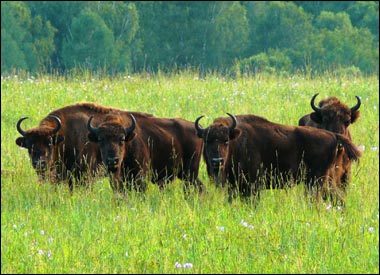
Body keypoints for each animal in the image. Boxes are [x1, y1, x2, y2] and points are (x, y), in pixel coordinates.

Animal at [194, 113, 360, 202]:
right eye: (207, 141)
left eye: (226, 141)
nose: (217, 161)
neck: (238, 141)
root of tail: (333, 135)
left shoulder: (253, 185)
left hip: (317, 181)